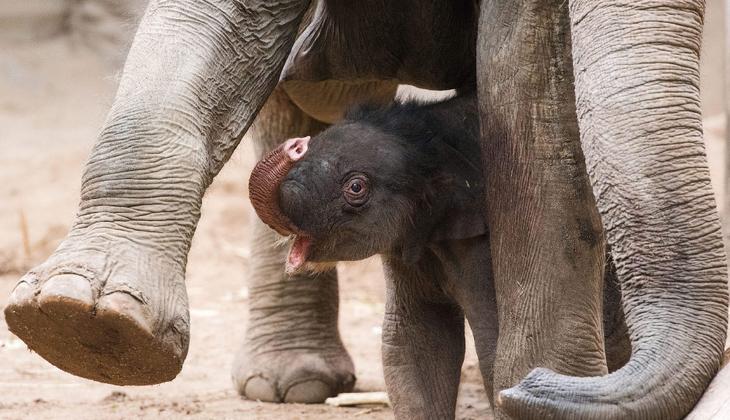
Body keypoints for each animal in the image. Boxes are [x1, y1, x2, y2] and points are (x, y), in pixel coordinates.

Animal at [247, 93, 498, 418]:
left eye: (356, 187)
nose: (296, 144)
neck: (429, 137)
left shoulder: (483, 247)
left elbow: (494, 337)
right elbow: (415, 341)